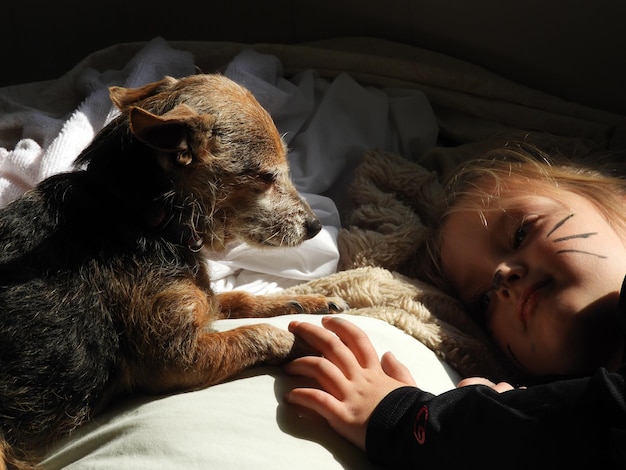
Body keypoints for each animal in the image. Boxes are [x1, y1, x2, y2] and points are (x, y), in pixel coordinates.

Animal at [0, 75, 344, 468]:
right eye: (267, 176)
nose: (315, 226)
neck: (137, 211)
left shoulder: (204, 300)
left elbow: (240, 298)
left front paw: (307, 300)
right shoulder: (176, 359)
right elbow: (256, 333)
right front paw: (309, 344)